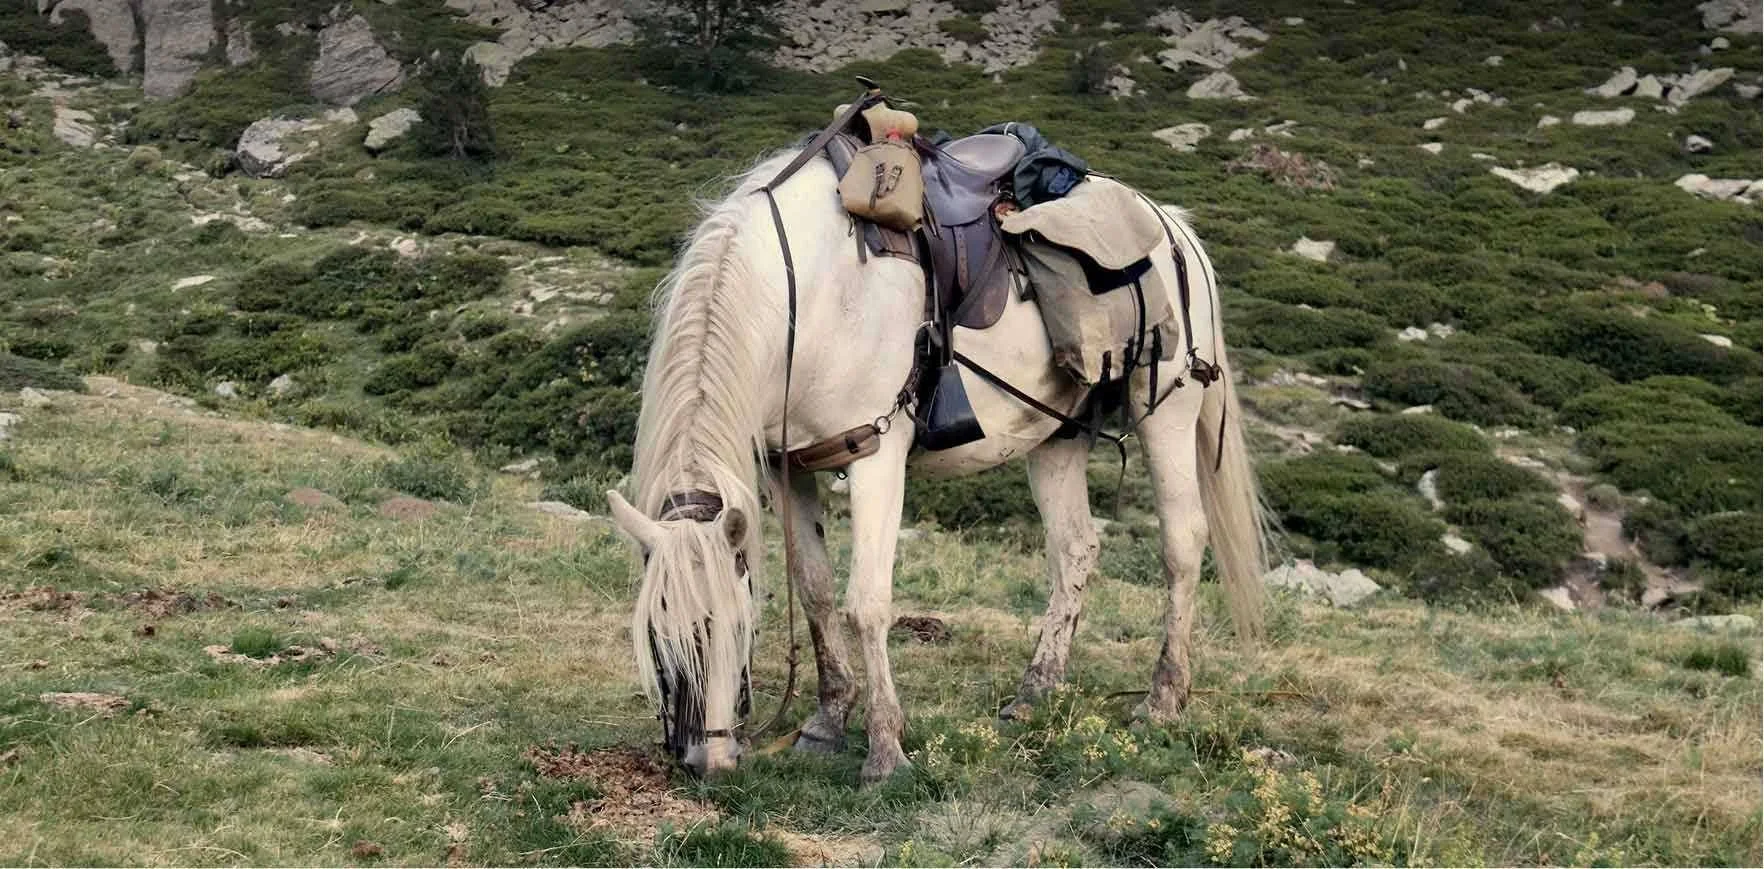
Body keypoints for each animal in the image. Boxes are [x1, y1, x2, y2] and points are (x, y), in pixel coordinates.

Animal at [604, 145, 1268, 783]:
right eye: (656, 633)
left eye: (735, 625)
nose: (705, 762)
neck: (807, 295)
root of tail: (1173, 227)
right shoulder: (787, 466)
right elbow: (816, 590)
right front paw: (827, 721)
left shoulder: (873, 452)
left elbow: (866, 602)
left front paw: (885, 751)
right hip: (1058, 435)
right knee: (1075, 549)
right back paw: (1036, 692)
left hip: (1169, 411)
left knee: (1182, 543)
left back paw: (1162, 700)